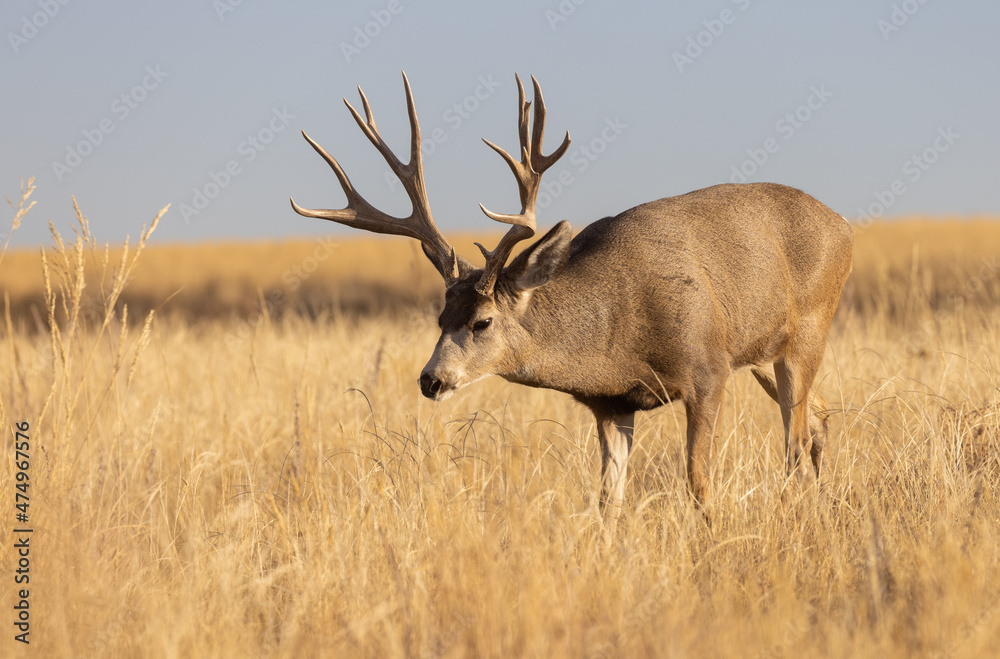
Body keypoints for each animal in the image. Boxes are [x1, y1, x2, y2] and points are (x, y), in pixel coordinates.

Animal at [290, 72, 853, 519]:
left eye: (482, 321)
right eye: (439, 318)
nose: (431, 380)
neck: (617, 329)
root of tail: (844, 226)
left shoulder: (707, 370)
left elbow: (698, 481)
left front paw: (713, 544)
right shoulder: (611, 403)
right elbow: (609, 500)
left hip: (807, 331)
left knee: (794, 442)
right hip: (763, 355)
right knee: (819, 419)